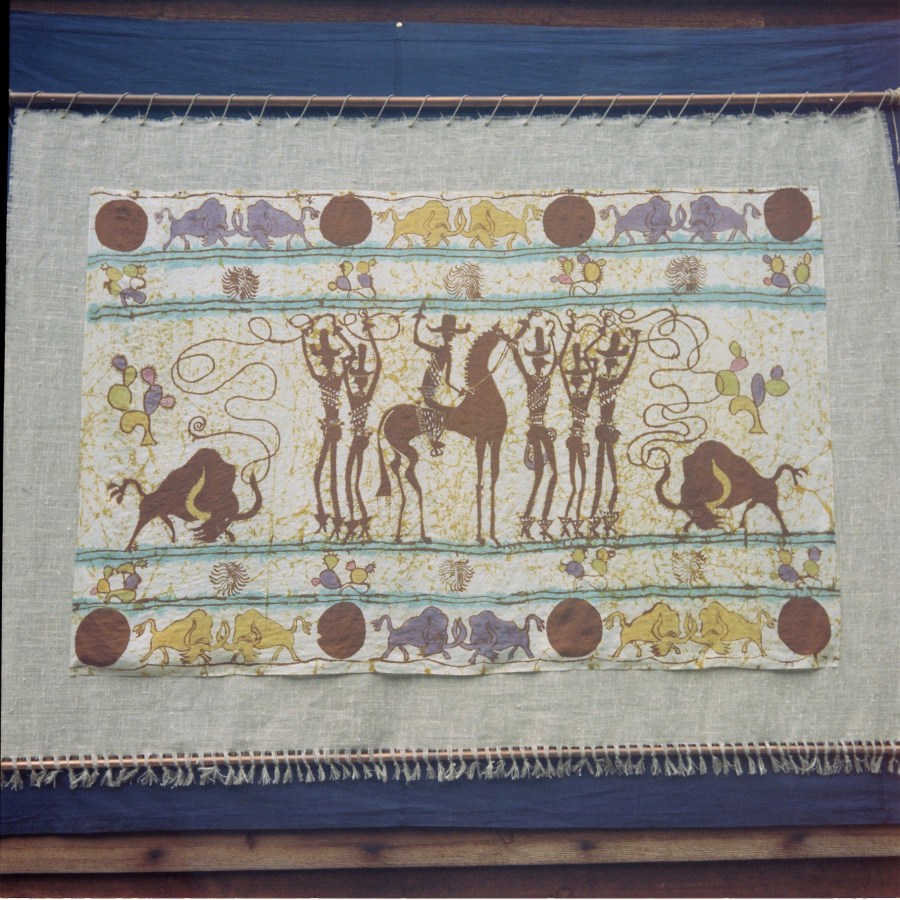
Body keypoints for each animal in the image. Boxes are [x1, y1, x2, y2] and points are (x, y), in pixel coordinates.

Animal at [376, 325, 508, 545]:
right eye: (500, 334)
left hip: (397, 447)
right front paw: (482, 536)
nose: (513, 340)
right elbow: (480, 481)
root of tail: (390, 412)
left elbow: (493, 479)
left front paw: (492, 537)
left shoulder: (495, 439)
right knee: (407, 470)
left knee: (396, 466)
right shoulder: (482, 439)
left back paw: (402, 534)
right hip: (404, 446)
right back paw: (417, 533)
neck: (483, 394)